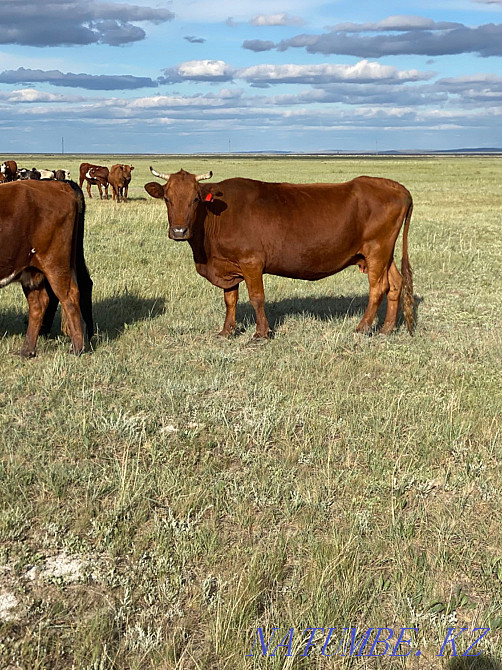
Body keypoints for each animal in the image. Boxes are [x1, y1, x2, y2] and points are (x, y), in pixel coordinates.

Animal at [0, 179, 94, 357]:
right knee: (39, 303)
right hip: (31, 270)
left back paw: (77, 348)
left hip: (55, 264)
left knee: (70, 296)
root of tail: (57, 185)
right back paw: (27, 350)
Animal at [145, 167, 415, 339]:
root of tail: (396, 187)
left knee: (378, 288)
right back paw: (386, 329)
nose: (179, 230)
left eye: (195, 199)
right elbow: (230, 299)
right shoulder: (227, 265)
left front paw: (261, 334)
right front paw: (226, 331)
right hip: (384, 253)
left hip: (377, 250)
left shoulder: (251, 262)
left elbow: (257, 297)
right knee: (395, 284)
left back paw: (363, 328)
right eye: (167, 198)